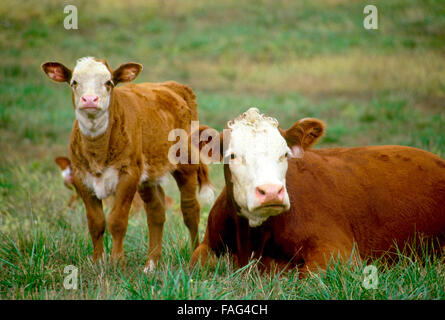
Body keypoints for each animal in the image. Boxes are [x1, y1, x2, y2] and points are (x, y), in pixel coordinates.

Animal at [42, 57, 212, 272]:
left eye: (109, 82)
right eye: (74, 82)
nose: (90, 100)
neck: (98, 150)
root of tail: (172, 86)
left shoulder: (128, 175)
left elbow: (117, 220)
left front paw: (117, 263)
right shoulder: (82, 178)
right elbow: (95, 222)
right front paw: (98, 262)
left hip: (186, 163)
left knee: (190, 210)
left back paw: (194, 255)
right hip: (148, 175)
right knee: (156, 211)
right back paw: (151, 264)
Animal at [191, 109, 444, 274]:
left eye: (284, 153)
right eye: (233, 155)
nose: (271, 191)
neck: (251, 241)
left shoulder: (339, 254)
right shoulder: (206, 245)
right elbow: (199, 262)